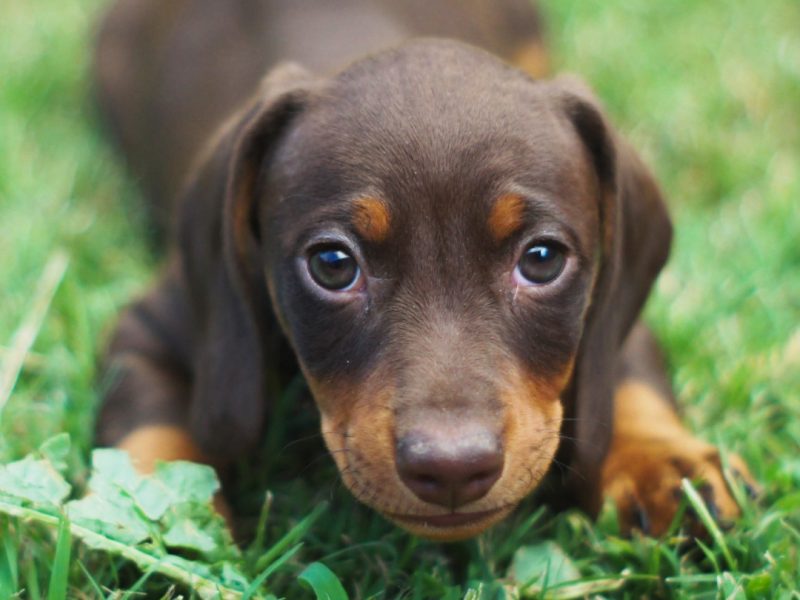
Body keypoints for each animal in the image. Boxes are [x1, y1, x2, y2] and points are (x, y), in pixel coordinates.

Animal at [92, 0, 752, 540]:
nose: (453, 468)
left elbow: (629, 377)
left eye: (542, 259)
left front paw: (662, 465)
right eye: (332, 265)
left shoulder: (609, 304)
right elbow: (148, 437)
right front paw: (151, 518)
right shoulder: (151, 328)